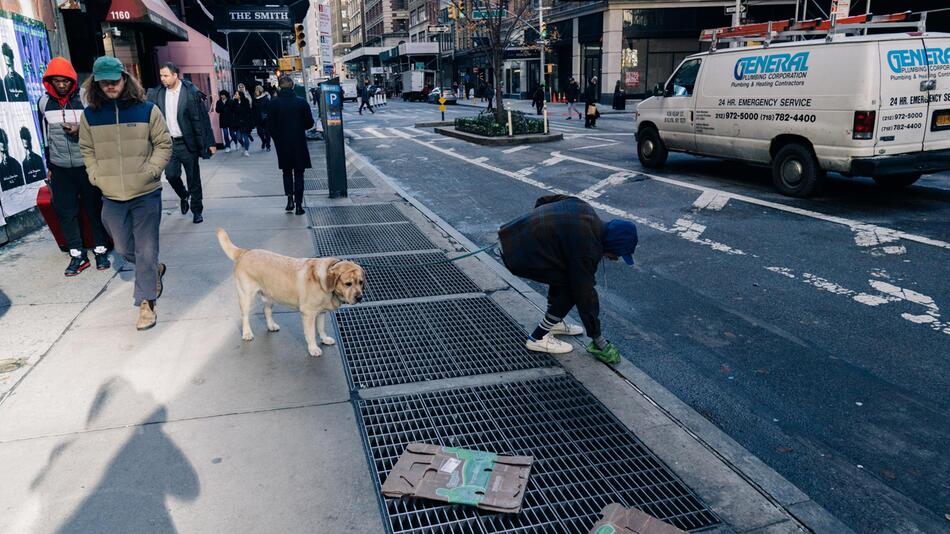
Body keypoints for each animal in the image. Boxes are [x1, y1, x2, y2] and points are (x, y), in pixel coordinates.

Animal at [216, 228, 364, 358]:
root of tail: (245, 252)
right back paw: (247, 333)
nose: (359, 297)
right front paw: (313, 348)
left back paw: (271, 325)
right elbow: (311, 334)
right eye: (348, 284)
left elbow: (321, 328)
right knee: (245, 316)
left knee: (266, 310)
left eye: (361, 282)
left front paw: (324, 339)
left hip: (269, 294)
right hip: (246, 296)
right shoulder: (308, 314)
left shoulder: (321, 312)